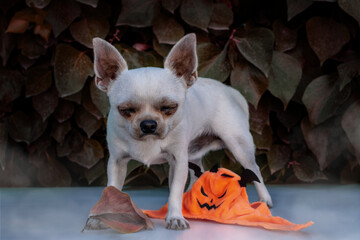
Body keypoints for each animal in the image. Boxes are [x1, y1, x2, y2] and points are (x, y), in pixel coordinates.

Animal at [91, 33, 272, 231]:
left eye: (169, 108)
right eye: (126, 110)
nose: (148, 124)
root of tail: (231, 91)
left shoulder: (178, 161)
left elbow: (174, 193)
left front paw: (175, 217)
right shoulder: (116, 163)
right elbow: (111, 190)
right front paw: (103, 217)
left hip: (238, 146)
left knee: (255, 169)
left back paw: (264, 199)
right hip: (193, 154)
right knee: (198, 173)